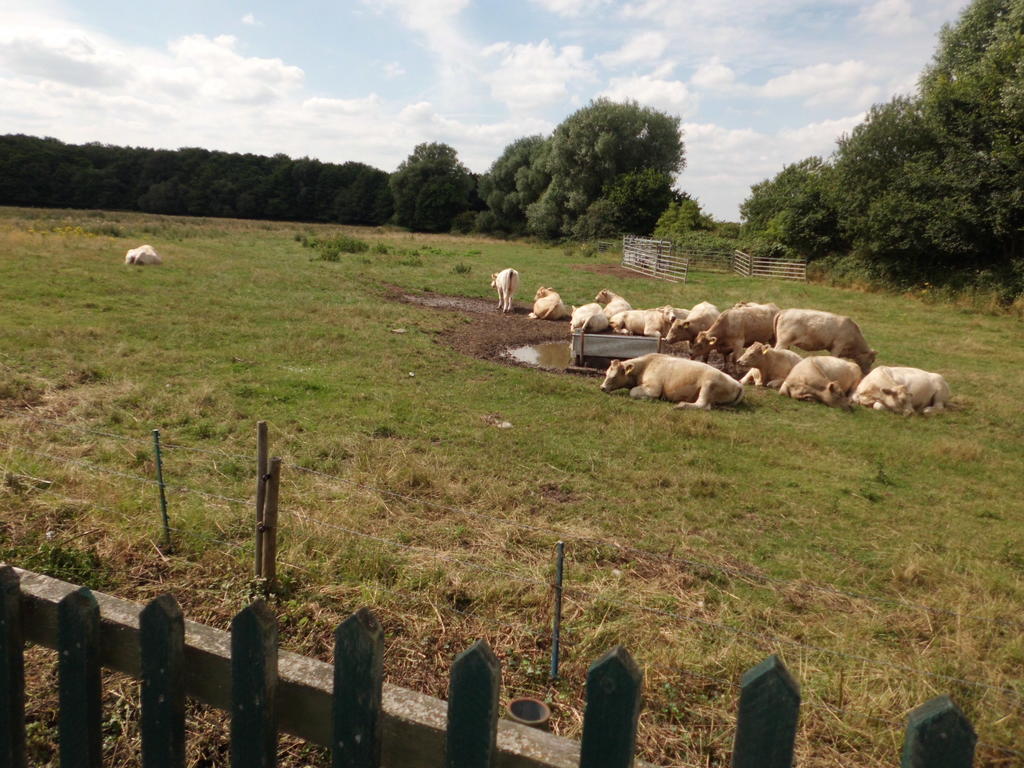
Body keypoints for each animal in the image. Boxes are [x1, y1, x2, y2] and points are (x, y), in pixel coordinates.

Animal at [598, 354, 745, 411]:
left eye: (614, 376)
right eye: (606, 373)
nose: (602, 387)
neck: (646, 366)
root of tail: (738, 383)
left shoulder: (654, 388)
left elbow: (633, 392)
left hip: (708, 384)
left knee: (703, 405)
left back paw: (681, 405)